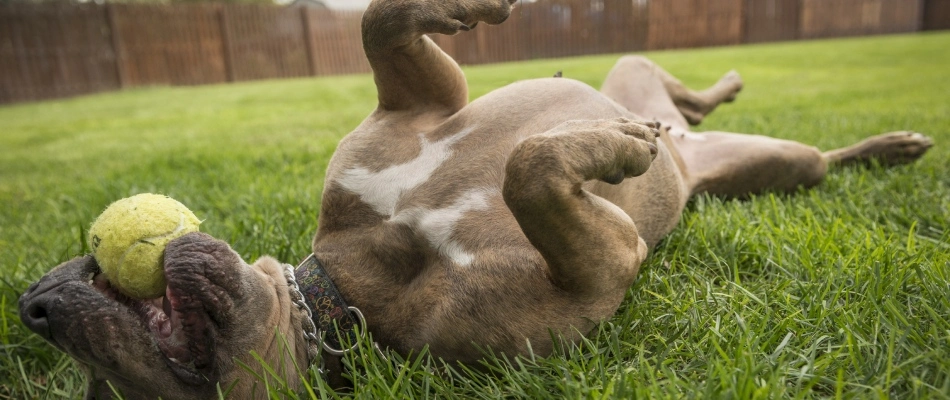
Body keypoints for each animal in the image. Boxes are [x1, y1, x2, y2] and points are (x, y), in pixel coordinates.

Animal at [16, 0, 936, 396]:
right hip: (779, 171)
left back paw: (742, 99)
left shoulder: (415, 107)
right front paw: (613, 150)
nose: (36, 306)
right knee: (800, 156)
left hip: (675, 98)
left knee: (692, 99)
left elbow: (383, 26)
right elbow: (530, 170)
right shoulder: (601, 264)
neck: (347, 285)